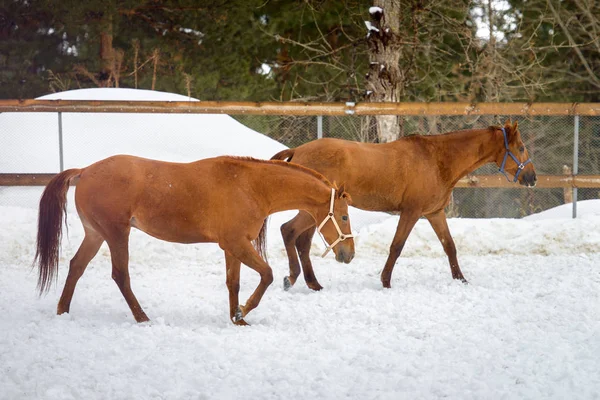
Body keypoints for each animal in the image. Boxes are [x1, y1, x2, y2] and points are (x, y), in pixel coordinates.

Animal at [34, 154, 352, 324]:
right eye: (345, 216)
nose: (348, 253)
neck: (250, 187)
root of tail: (85, 171)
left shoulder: (232, 247)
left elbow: (233, 283)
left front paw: (237, 318)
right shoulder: (237, 243)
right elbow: (267, 275)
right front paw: (244, 310)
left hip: (96, 234)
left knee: (76, 266)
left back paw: (62, 311)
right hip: (116, 233)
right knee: (120, 275)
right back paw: (142, 318)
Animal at [270, 119, 536, 290]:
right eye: (521, 147)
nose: (532, 178)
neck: (436, 160)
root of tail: (298, 150)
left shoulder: (434, 213)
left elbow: (449, 246)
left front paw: (461, 280)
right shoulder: (412, 212)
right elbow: (396, 246)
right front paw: (385, 281)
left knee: (302, 241)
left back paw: (311, 283)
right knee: (289, 231)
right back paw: (294, 279)